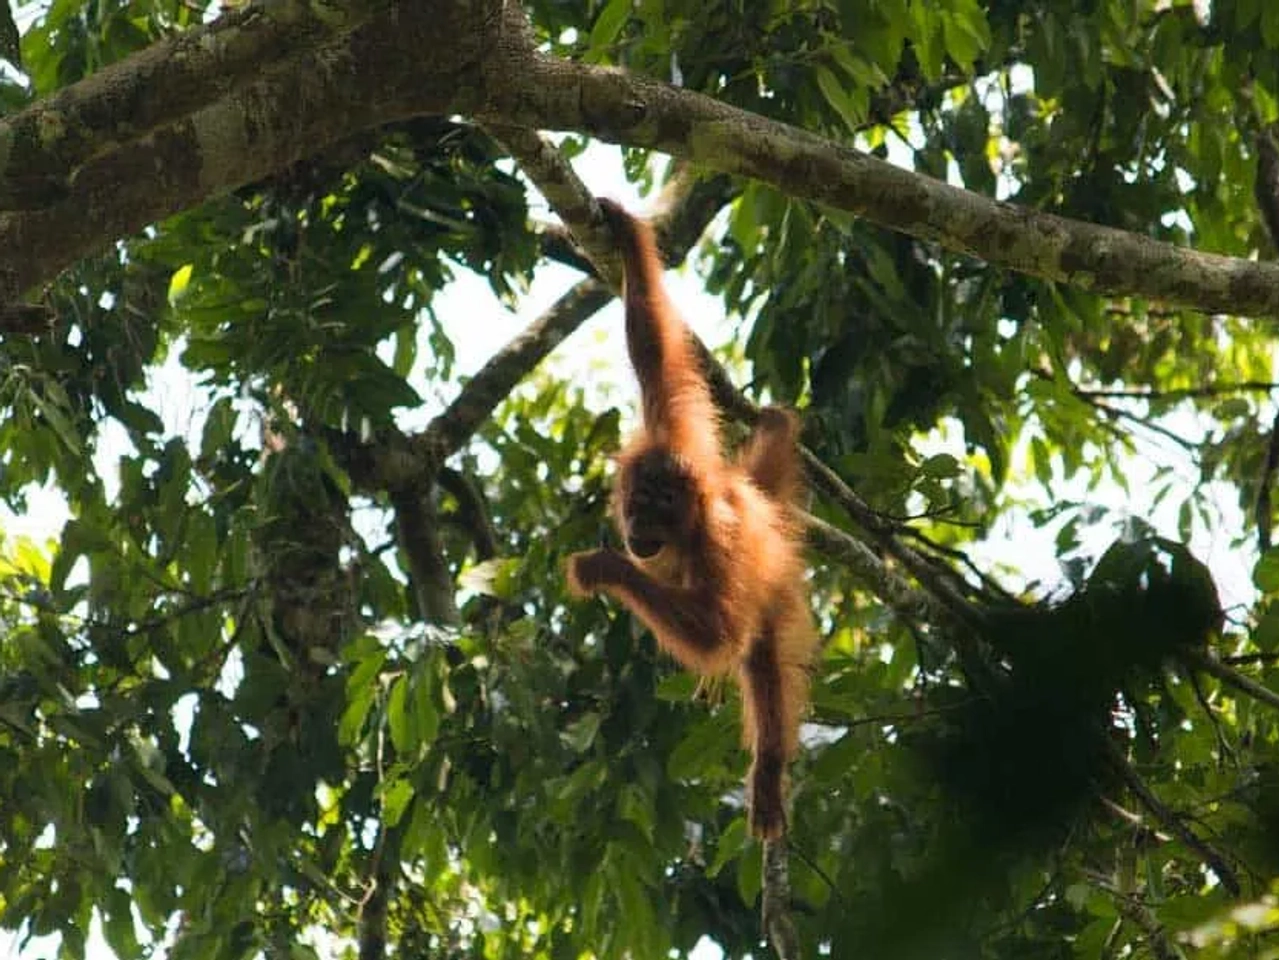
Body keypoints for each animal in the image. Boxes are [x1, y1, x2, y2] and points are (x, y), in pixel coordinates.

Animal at [566, 198, 819, 840]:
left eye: (661, 513)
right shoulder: (673, 433)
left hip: (774, 590)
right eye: (636, 505)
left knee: (762, 664)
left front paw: (603, 566)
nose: (637, 534)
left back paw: (769, 769)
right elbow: (652, 345)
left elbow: (716, 633)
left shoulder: (717, 544)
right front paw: (627, 235)